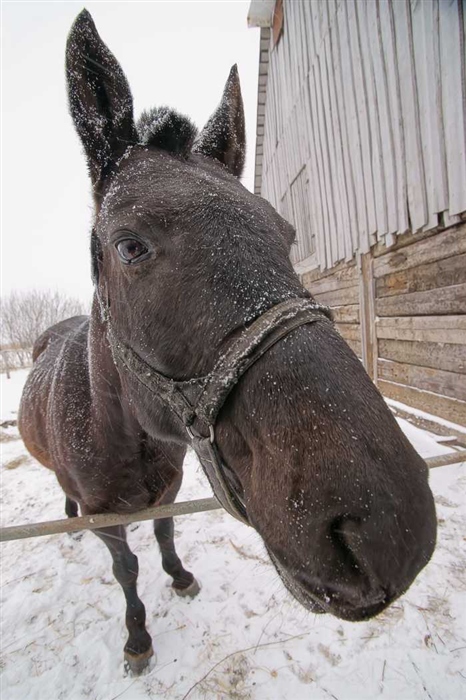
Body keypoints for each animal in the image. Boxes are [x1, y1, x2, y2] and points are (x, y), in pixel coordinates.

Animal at [20, 9, 436, 680]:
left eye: (286, 233)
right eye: (129, 246)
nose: (391, 529)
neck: (122, 430)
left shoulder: (166, 492)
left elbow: (165, 534)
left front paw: (179, 576)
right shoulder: (112, 518)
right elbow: (126, 568)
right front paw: (138, 637)